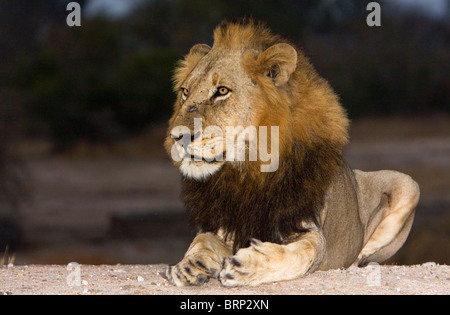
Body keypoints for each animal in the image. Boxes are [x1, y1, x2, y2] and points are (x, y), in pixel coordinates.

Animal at [163, 18, 420, 288]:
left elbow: (300, 253)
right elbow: (202, 239)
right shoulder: (223, 224)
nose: (177, 137)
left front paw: (246, 265)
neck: (250, 170)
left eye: (222, 91)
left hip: (408, 184)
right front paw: (189, 265)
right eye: (185, 92)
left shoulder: (310, 231)